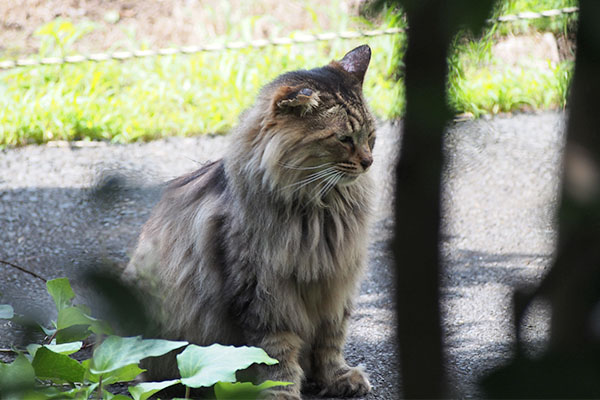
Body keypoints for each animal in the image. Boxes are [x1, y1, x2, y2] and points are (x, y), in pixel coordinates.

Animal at [125, 45, 378, 398]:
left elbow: (331, 342)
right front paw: (282, 392)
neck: (320, 208)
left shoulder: (336, 285)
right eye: (343, 139)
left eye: (371, 135)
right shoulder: (263, 295)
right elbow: (276, 356)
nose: (369, 161)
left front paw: (337, 378)